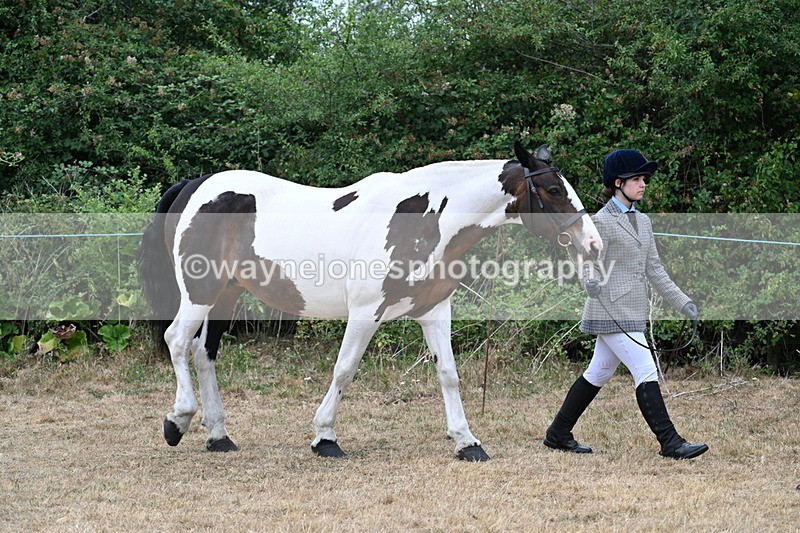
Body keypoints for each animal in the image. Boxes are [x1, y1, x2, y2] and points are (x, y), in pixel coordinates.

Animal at [137, 142, 602, 462]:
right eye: (553, 189)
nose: (593, 244)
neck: (425, 219)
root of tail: (195, 186)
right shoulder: (366, 313)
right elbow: (344, 370)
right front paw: (325, 438)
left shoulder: (434, 312)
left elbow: (449, 375)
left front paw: (467, 442)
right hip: (200, 292)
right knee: (177, 340)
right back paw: (177, 421)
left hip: (226, 295)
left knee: (204, 352)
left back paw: (218, 436)